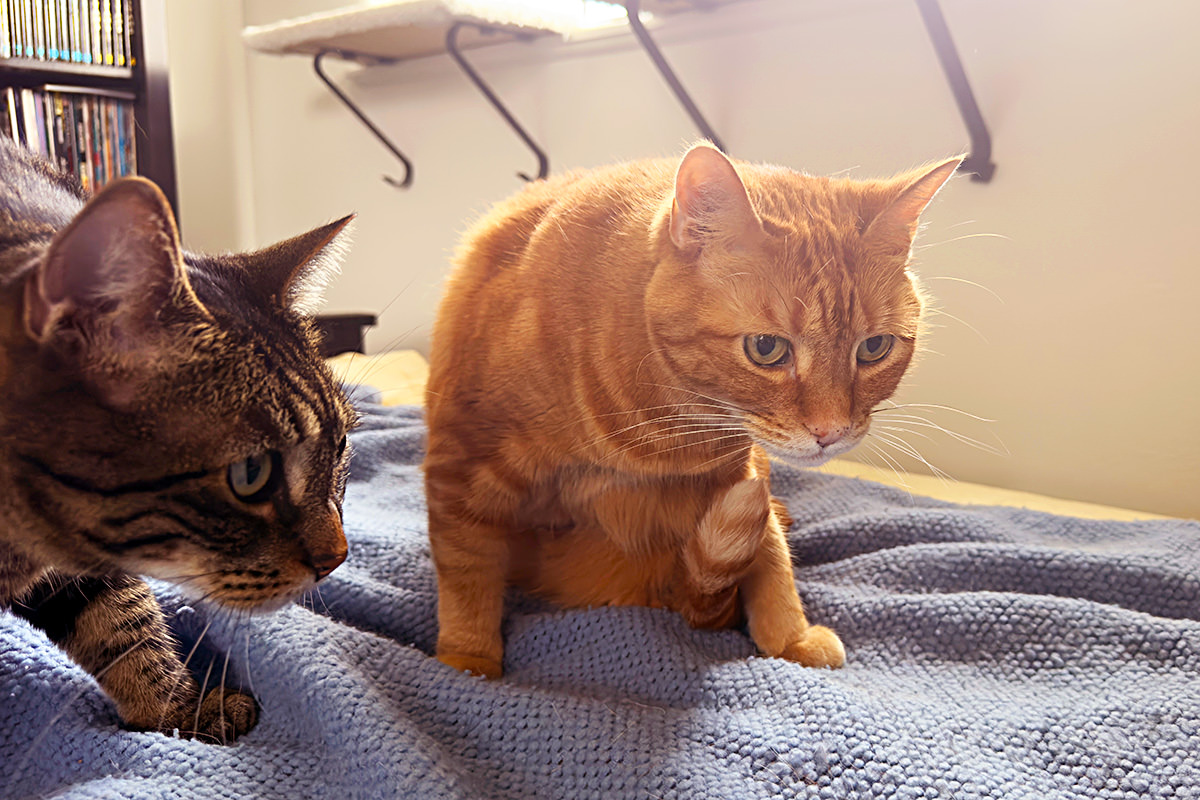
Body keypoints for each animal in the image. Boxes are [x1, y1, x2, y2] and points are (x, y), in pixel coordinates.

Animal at [427, 142, 960, 676]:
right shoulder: (462, 467)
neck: (666, 429)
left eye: (874, 348)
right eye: (766, 349)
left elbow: (769, 555)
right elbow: (467, 571)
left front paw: (790, 637)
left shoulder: (738, 478)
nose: (831, 431)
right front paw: (468, 661)